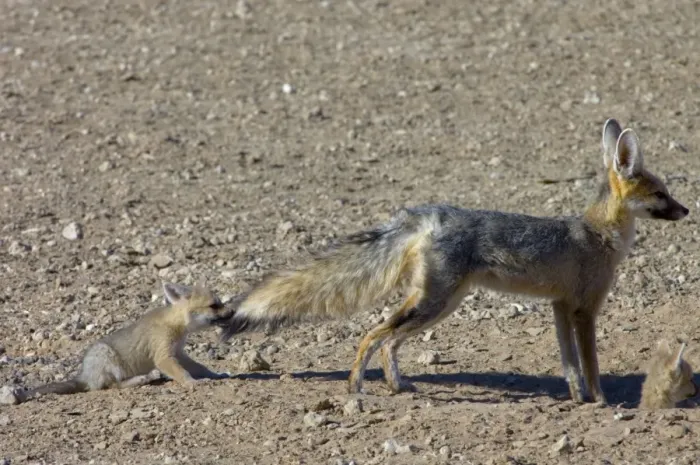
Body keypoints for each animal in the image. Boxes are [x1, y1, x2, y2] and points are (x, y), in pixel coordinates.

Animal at [17, 283, 231, 402]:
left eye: (220, 303)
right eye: (214, 306)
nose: (231, 312)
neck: (174, 324)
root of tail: (84, 375)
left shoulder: (178, 353)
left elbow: (200, 367)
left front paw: (216, 374)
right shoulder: (164, 357)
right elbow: (182, 373)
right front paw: (193, 382)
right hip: (108, 358)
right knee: (112, 386)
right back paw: (143, 378)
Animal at [218, 118, 688, 404]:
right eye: (661, 194)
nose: (685, 211)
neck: (598, 233)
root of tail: (429, 214)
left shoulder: (559, 306)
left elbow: (569, 364)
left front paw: (577, 399)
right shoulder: (585, 309)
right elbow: (590, 364)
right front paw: (603, 402)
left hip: (441, 305)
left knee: (389, 342)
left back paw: (398, 385)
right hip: (434, 303)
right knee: (372, 335)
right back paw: (356, 387)